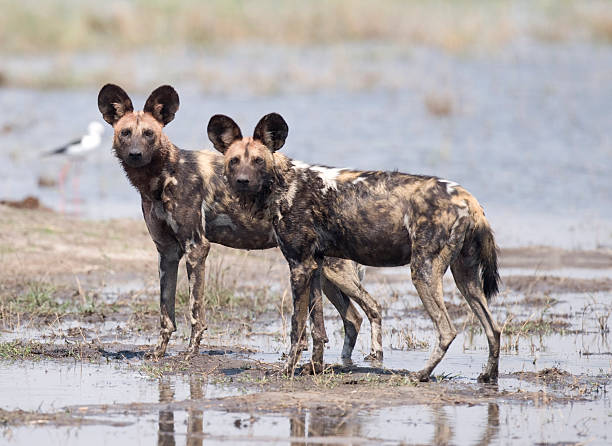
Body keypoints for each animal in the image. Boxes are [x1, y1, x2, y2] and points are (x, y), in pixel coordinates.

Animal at [95, 84, 382, 362]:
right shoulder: (167, 252)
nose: (135, 154)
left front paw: (190, 352)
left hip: (335, 271)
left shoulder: (196, 247)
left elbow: (195, 312)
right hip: (322, 274)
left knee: (373, 306)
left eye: (149, 134)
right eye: (125, 133)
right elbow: (166, 312)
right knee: (353, 317)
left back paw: (373, 355)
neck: (161, 177)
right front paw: (159, 352)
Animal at [210, 113, 502, 382]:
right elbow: (317, 328)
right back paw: (488, 376)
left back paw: (421, 374)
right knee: (493, 328)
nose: (242, 181)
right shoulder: (315, 266)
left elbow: (297, 328)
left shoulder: (299, 267)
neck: (284, 184)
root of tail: (469, 199)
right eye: (234, 161)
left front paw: (288, 370)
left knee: (447, 330)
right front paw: (315, 368)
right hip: (465, 277)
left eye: (258, 161)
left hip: (423, 272)